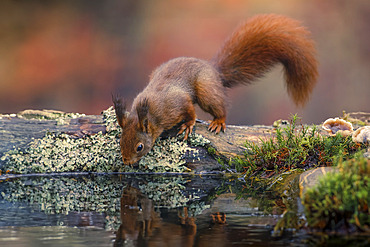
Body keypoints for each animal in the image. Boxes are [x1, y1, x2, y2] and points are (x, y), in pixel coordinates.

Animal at [112, 13, 318, 164]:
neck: (151, 114)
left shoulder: (177, 103)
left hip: (206, 91)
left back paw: (218, 121)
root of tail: (213, 70)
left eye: (139, 147)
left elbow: (190, 111)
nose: (126, 162)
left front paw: (188, 125)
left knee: (219, 107)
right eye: (120, 141)